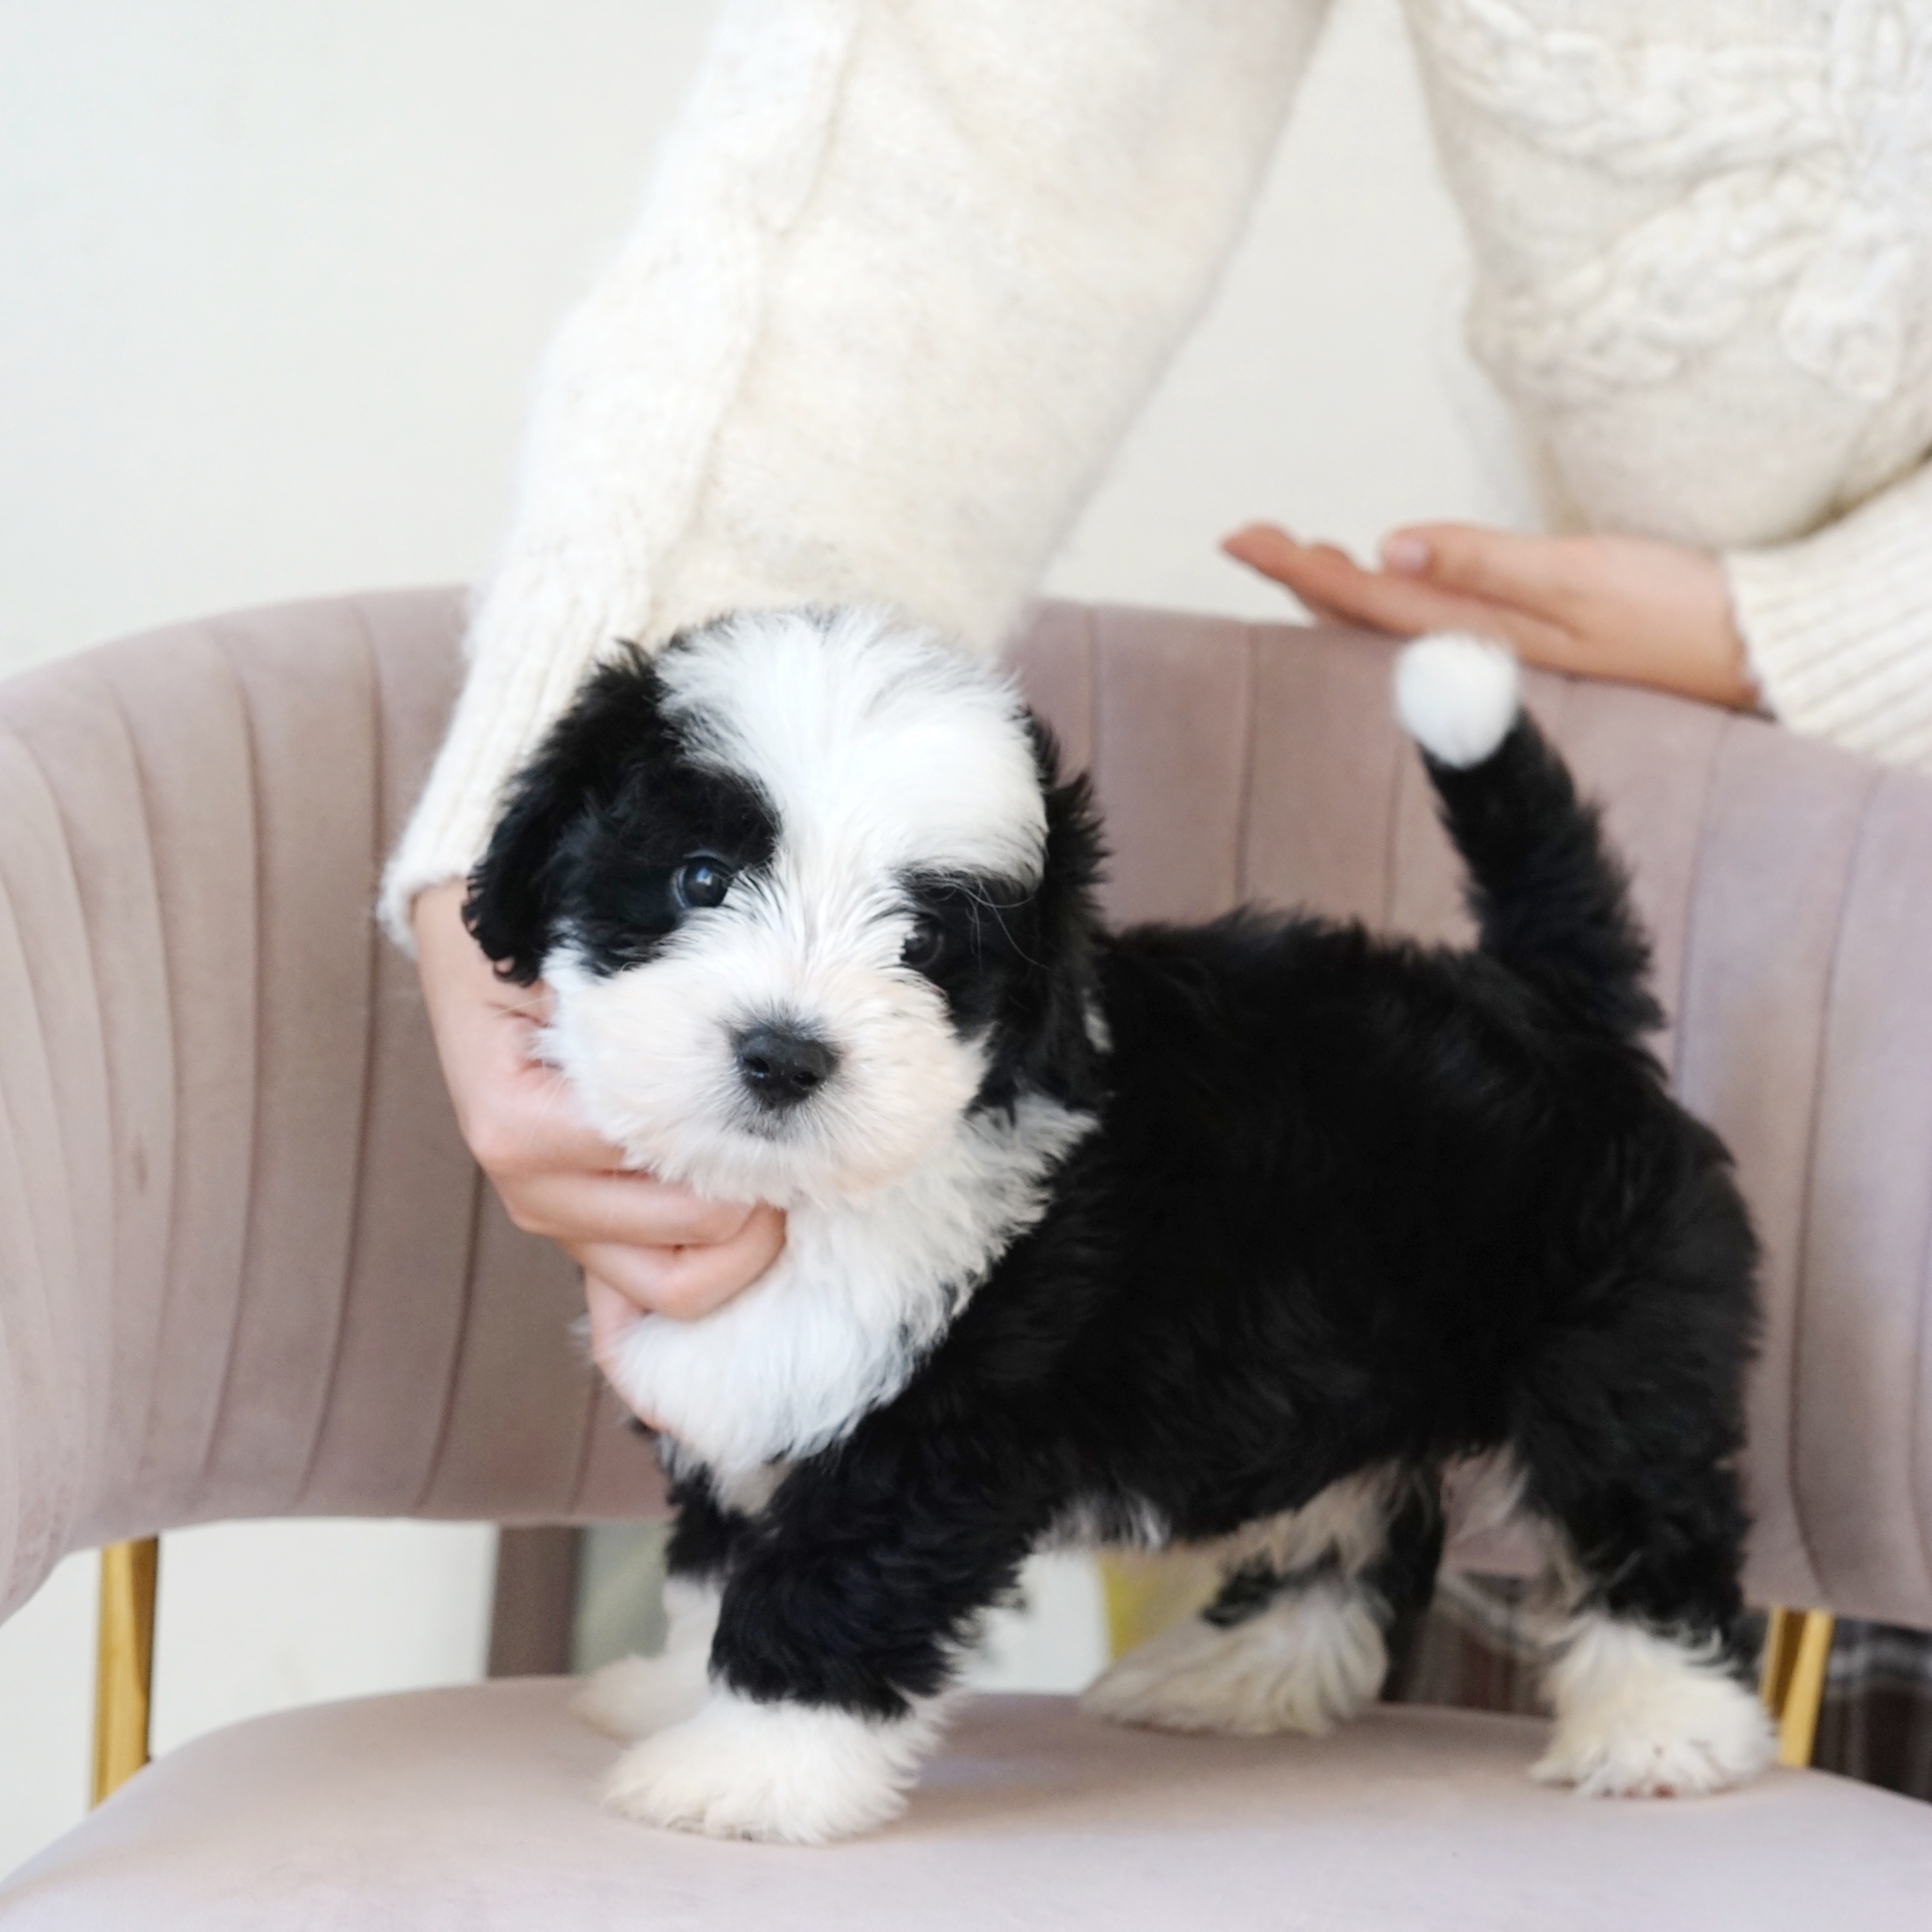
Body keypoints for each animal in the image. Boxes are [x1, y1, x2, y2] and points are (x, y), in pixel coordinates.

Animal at [464, 606, 1774, 1843]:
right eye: (699, 878)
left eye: (923, 942)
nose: (785, 1054)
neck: (824, 1193)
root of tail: (1550, 1000)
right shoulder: (750, 1387)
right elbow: (718, 1551)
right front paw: (677, 1689)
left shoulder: (947, 1417)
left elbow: (835, 1574)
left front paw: (751, 1767)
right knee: (1355, 1524)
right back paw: (1248, 1672)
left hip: (1608, 1334)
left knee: (1637, 1506)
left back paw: (1667, 1723)